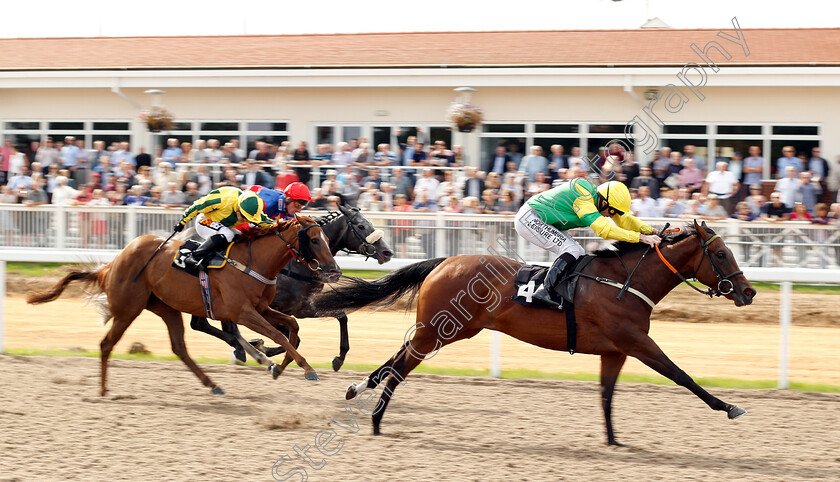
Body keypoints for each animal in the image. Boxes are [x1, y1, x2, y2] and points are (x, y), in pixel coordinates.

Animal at [29, 216, 340, 396]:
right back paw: (104, 389)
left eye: (327, 238)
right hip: (129, 309)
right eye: (314, 239)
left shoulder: (263, 309)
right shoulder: (243, 312)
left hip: (167, 307)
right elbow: (278, 335)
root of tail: (114, 261)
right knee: (107, 344)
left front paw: (280, 366)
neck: (254, 261)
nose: (334, 270)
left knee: (180, 347)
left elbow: (292, 328)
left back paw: (214, 384)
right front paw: (306, 368)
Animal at [314, 220, 756, 446]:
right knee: (402, 365)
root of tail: (444, 262)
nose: (748, 291)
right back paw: (375, 419)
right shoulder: (638, 343)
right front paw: (729, 406)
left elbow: (606, 395)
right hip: (440, 331)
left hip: (451, 330)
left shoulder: (615, 351)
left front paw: (613, 439)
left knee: (397, 356)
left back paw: (359, 390)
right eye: (720, 254)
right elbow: (681, 375)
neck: (623, 282)